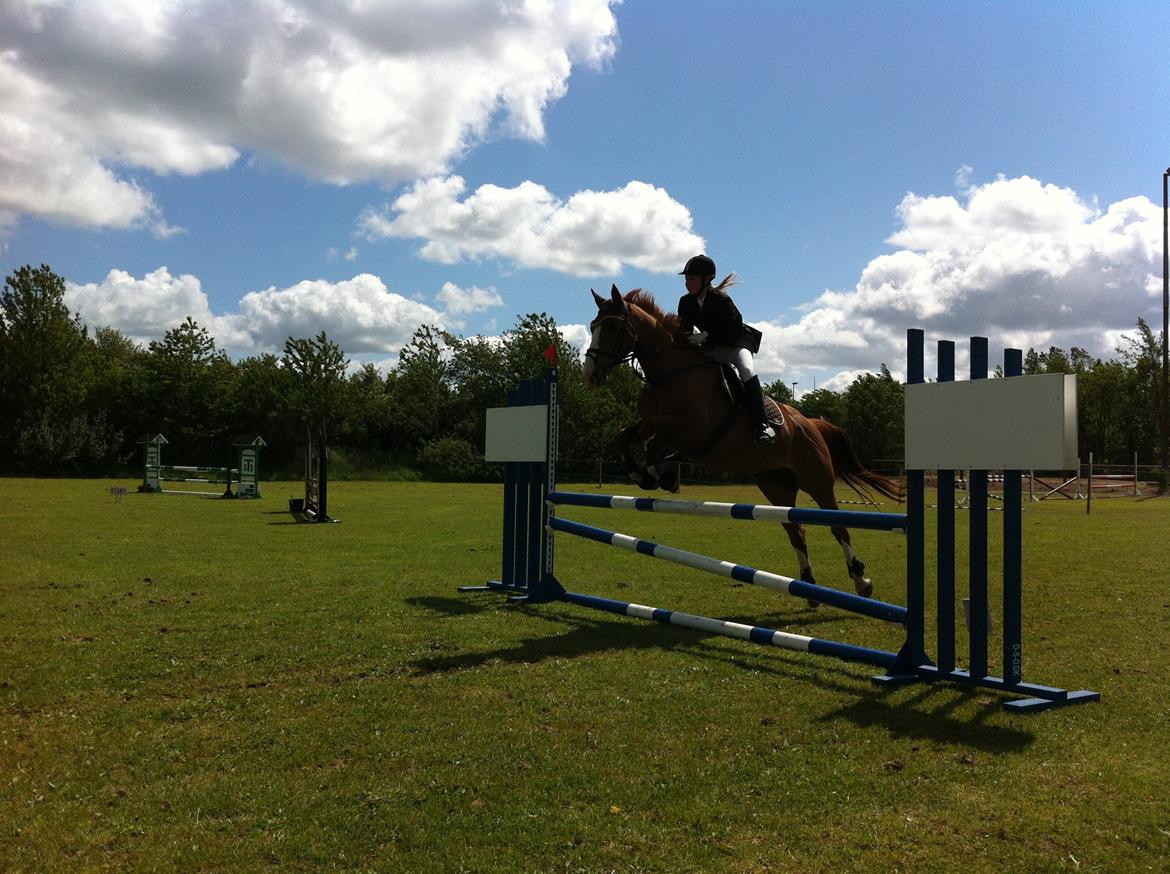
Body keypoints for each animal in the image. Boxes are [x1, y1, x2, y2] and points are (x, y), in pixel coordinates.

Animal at [585, 285, 903, 603]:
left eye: (611, 327)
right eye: (592, 326)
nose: (590, 374)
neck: (670, 374)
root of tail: (811, 424)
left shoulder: (695, 428)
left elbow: (649, 431)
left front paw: (655, 471)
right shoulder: (666, 428)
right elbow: (627, 434)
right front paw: (647, 474)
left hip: (817, 481)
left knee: (838, 527)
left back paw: (861, 582)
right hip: (775, 485)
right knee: (795, 528)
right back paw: (809, 587)